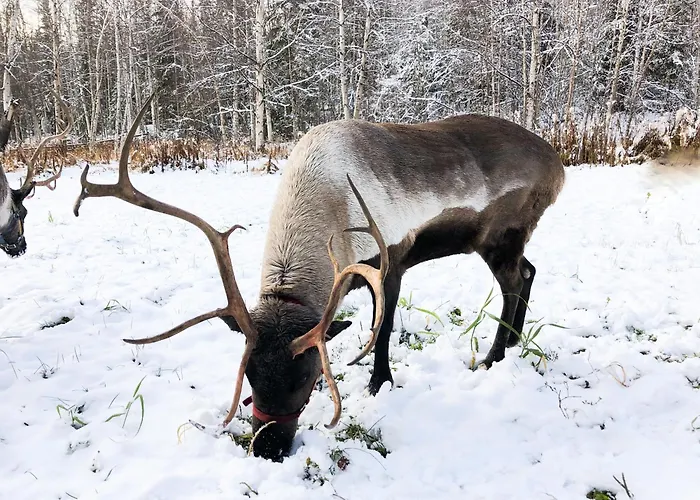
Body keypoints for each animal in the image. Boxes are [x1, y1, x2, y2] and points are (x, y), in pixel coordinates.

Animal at [73, 92, 565, 461]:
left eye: (308, 380)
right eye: (250, 377)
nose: (268, 449)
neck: (326, 202)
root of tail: (559, 166)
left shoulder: (391, 260)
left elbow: (382, 329)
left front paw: (379, 382)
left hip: (501, 237)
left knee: (514, 281)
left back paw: (494, 357)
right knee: (529, 272)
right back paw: (513, 345)